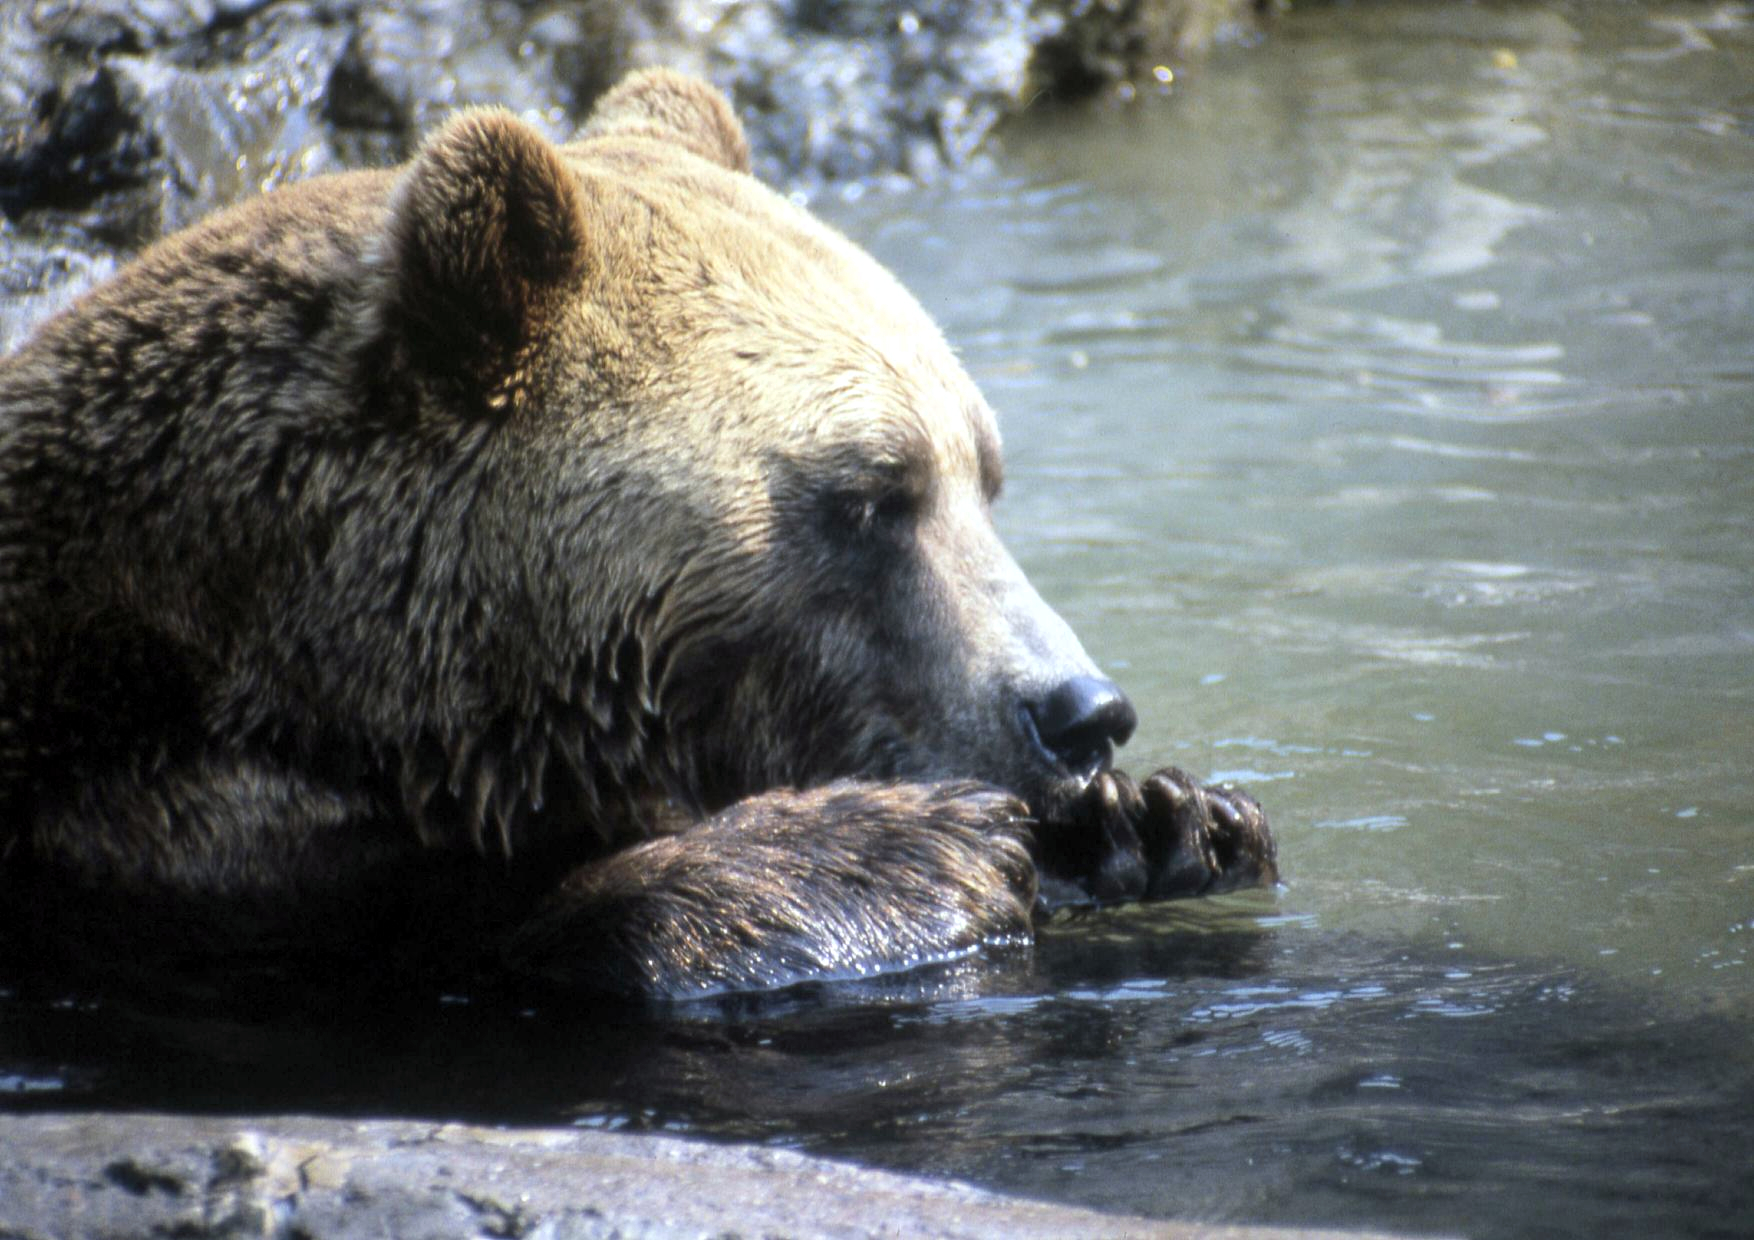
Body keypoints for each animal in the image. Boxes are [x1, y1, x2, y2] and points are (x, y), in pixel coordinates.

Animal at [0, 70, 1275, 1000]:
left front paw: (1157, 822)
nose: (1081, 711)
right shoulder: (179, 833)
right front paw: (902, 846)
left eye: (984, 477)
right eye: (873, 493)